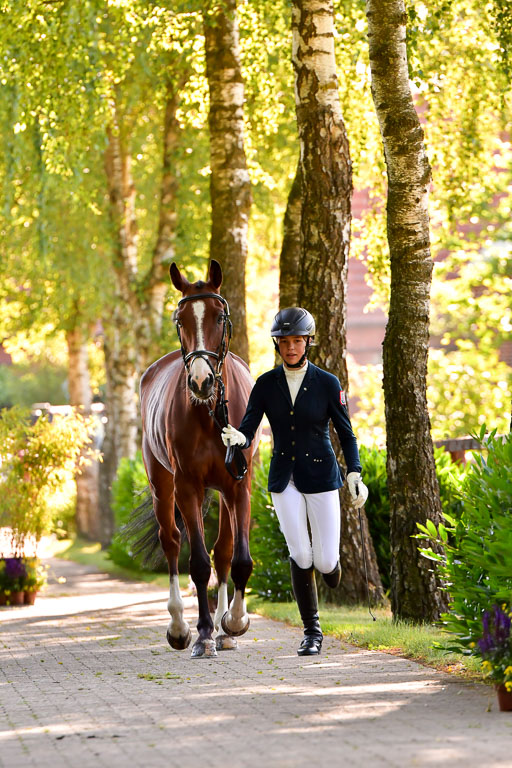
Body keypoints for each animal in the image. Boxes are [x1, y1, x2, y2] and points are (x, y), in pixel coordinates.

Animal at [137, 259, 257, 658]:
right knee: (172, 541)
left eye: (220, 316)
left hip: (221, 491)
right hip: (162, 484)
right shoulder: (187, 484)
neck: (209, 414)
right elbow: (199, 562)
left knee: (222, 551)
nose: (201, 381)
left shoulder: (239, 484)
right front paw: (203, 633)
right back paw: (179, 627)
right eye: (180, 319)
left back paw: (224, 629)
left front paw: (233, 622)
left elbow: (236, 558)